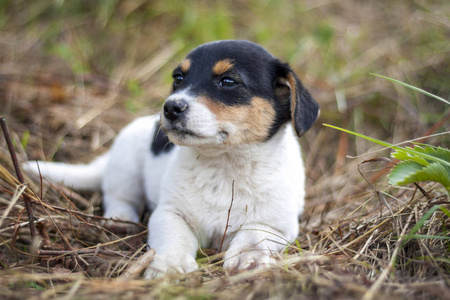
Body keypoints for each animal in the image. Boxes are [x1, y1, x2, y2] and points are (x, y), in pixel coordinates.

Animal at [23, 40, 320, 278]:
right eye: (178, 77)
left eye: (228, 81)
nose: (170, 108)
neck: (225, 166)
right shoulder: (170, 213)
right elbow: (174, 237)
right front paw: (170, 265)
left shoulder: (276, 224)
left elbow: (253, 236)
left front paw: (249, 259)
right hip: (125, 165)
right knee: (119, 196)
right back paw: (120, 218)